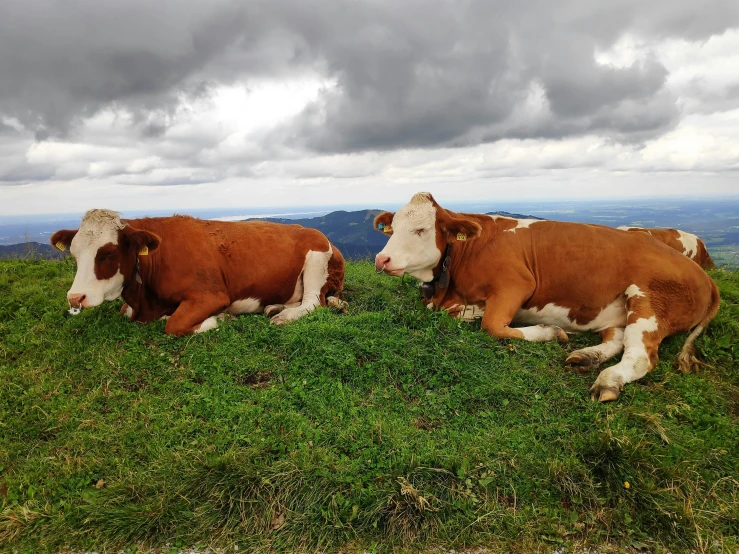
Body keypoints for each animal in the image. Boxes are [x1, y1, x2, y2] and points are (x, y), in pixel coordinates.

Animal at [52, 209, 346, 334]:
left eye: (108, 253)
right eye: (74, 254)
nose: (75, 298)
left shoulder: (211, 295)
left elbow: (174, 324)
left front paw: (220, 319)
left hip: (316, 258)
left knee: (314, 302)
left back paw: (283, 316)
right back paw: (275, 307)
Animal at [372, 193, 720, 402]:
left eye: (421, 230)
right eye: (393, 229)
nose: (381, 259)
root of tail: (703, 274)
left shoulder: (516, 283)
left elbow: (492, 326)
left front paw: (549, 331)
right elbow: (459, 313)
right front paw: (471, 310)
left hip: (648, 300)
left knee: (640, 356)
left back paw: (608, 381)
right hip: (615, 308)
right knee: (617, 339)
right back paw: (586, 357)